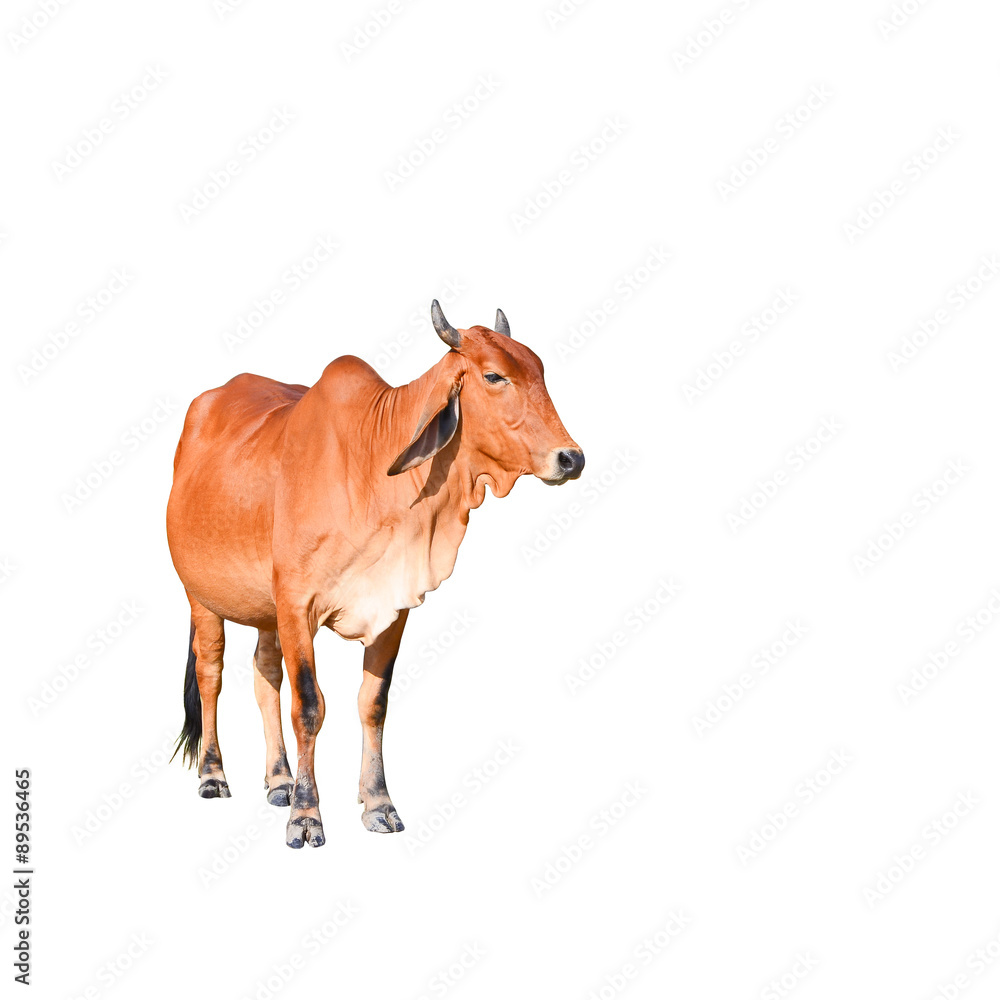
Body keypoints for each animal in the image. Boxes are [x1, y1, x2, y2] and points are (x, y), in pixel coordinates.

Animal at [166, 301, 584, 847]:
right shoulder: (297, 604)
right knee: (211, 675)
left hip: (265, 612)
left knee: (264, 674)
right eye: (494, 376)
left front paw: (378, 803)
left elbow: (372, 703)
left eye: (541, 373)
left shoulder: (392, 609)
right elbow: (309, 705)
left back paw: (278, 779)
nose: (571, 458)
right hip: (200, 596)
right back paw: (214, 775)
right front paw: (306, 815)